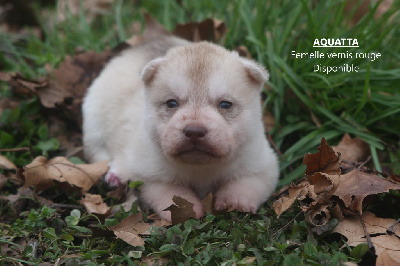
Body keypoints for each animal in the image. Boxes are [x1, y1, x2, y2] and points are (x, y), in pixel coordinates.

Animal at [82, 35, 278, 222]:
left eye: (225, 104)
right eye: (171, 103)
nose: (194, 132)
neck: (200, 168)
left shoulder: (260, 164)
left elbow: (245, 184)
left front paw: (235, 202)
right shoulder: (151, 176)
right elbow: (171, 192)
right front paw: (186, 210)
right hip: (94, 122)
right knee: (100, 154)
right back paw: (114, 176)